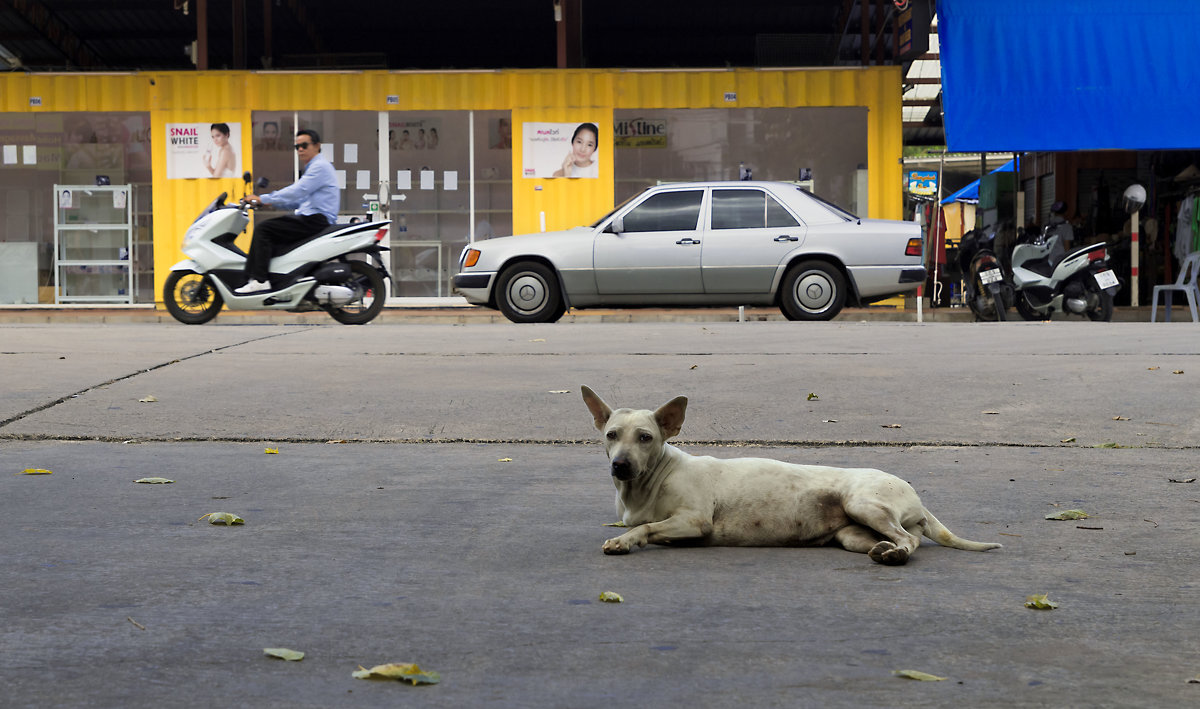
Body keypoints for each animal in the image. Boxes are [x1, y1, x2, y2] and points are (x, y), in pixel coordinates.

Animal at [583, 388, 1003, 566]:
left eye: (645, 437)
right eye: (611, 435)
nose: (620, 465)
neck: (646, 485)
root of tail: (916, 497)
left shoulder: (694, 521)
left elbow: (646, 528)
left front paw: (624, 541)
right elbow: (648, 526)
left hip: (863, 503)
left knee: (909, 541)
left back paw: (897, 554)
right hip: (852, 534)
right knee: (896, 540)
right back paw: (887, 551)